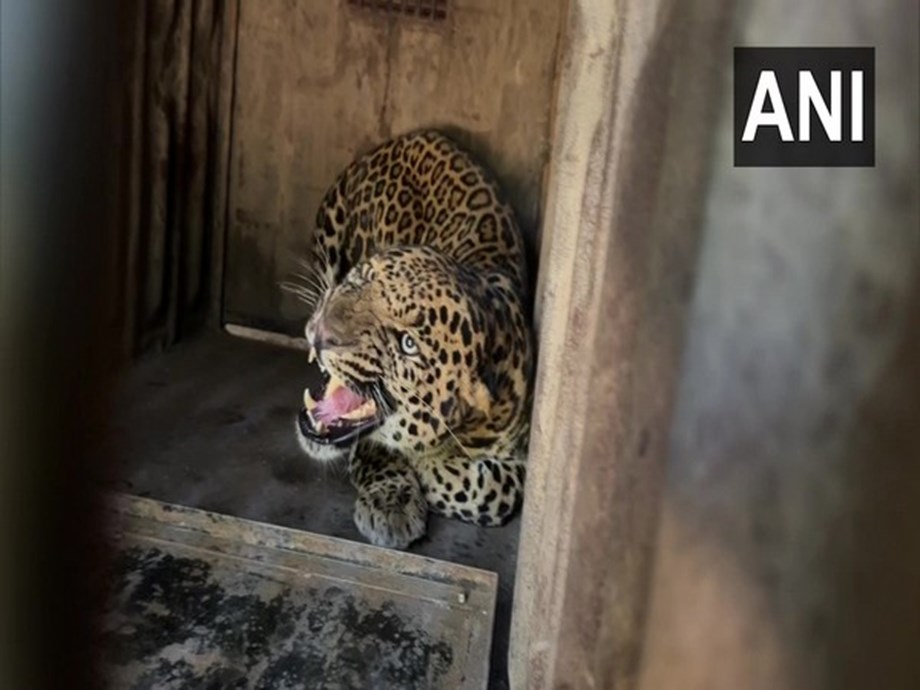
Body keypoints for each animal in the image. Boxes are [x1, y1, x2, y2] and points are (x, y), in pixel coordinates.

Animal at [291, 129, 533, 549]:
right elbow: (382, 451)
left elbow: (489, 491)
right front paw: (392, 504)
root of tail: (418, 135)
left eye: (407, 344)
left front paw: (429, 464)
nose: (319, 334)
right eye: (360, 279)